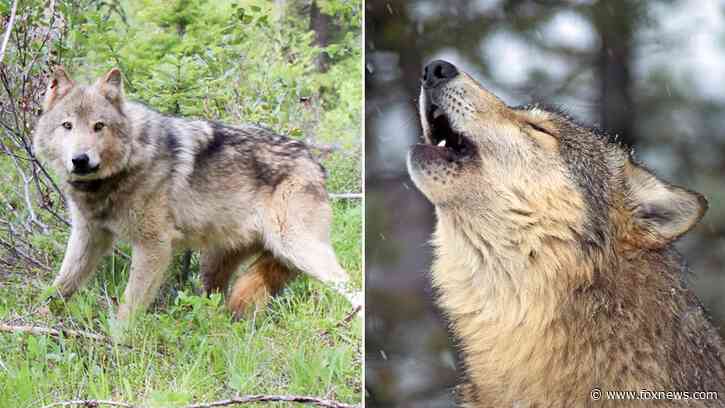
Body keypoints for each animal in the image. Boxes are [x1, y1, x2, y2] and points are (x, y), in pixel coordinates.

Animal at [33, 67, 360, 324]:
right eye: (67, 125)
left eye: (99, 126)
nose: (80, 160)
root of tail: (315, 163)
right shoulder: (89, 236)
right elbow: (60, 285)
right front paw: (34, 321)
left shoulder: (154, 246)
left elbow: (129, 306)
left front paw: (118, 344)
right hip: (215, 265)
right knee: (217, 304)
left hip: (297, 249)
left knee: (351, 286)